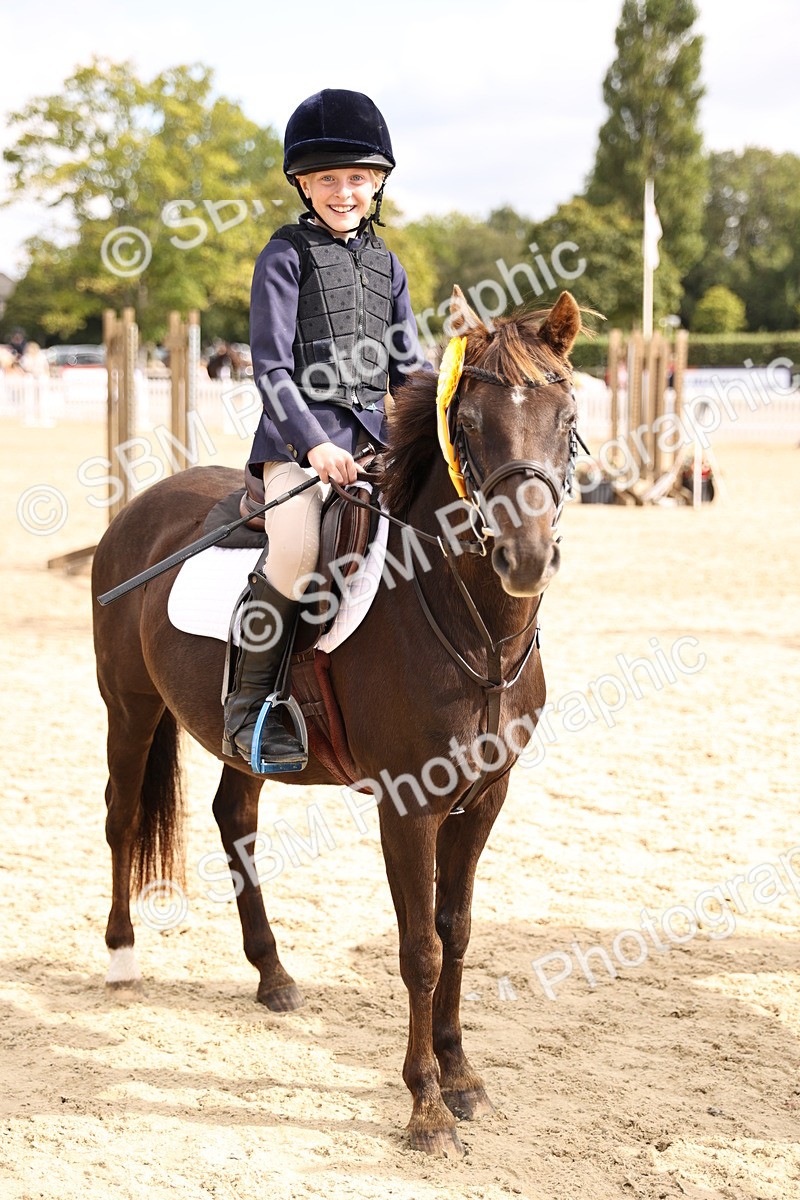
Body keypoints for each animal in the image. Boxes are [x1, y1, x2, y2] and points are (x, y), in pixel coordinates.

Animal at [91, 287, 585, 1157]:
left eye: (565, 414)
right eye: (468, 423)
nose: (525, 558)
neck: (473, 627)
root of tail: (141, 507)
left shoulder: (485, 798)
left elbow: (458, 930)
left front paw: (462, 1077)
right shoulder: (408, 805)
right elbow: (420, 948)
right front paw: (425, 1105)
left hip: (239, 743)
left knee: (234, 817)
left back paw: (273, 974)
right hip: (130, 708)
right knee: (122, 819)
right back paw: (122, 958)